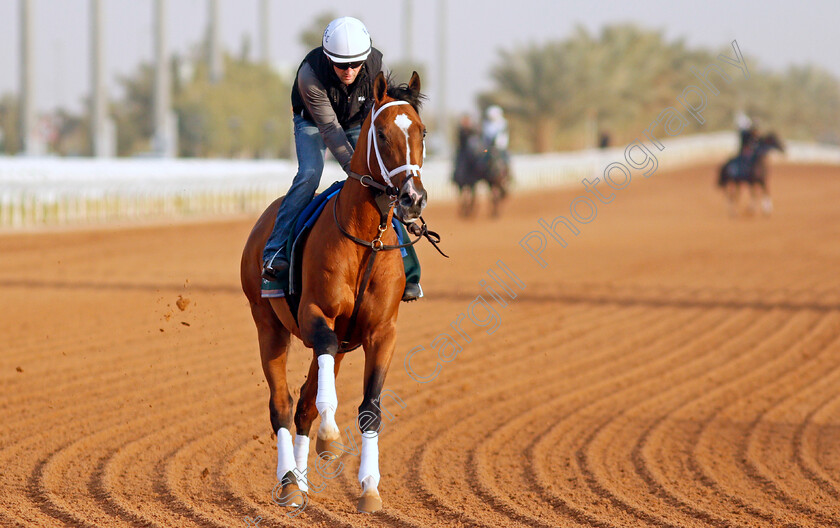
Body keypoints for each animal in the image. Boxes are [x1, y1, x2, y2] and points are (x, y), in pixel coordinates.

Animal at [241, 72, 426, 512]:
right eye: (381, 132)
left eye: (422, 131)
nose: (413, 198)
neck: (366, 243)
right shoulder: (316, 315)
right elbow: (320, 401)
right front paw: (330, 440)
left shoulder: (382, 332)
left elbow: (370, 409)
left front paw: (370, 489)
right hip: (268, 326)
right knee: (282, 405)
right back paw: (290, 483)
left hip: (341, 345)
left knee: (304, 405)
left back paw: (303, 482)